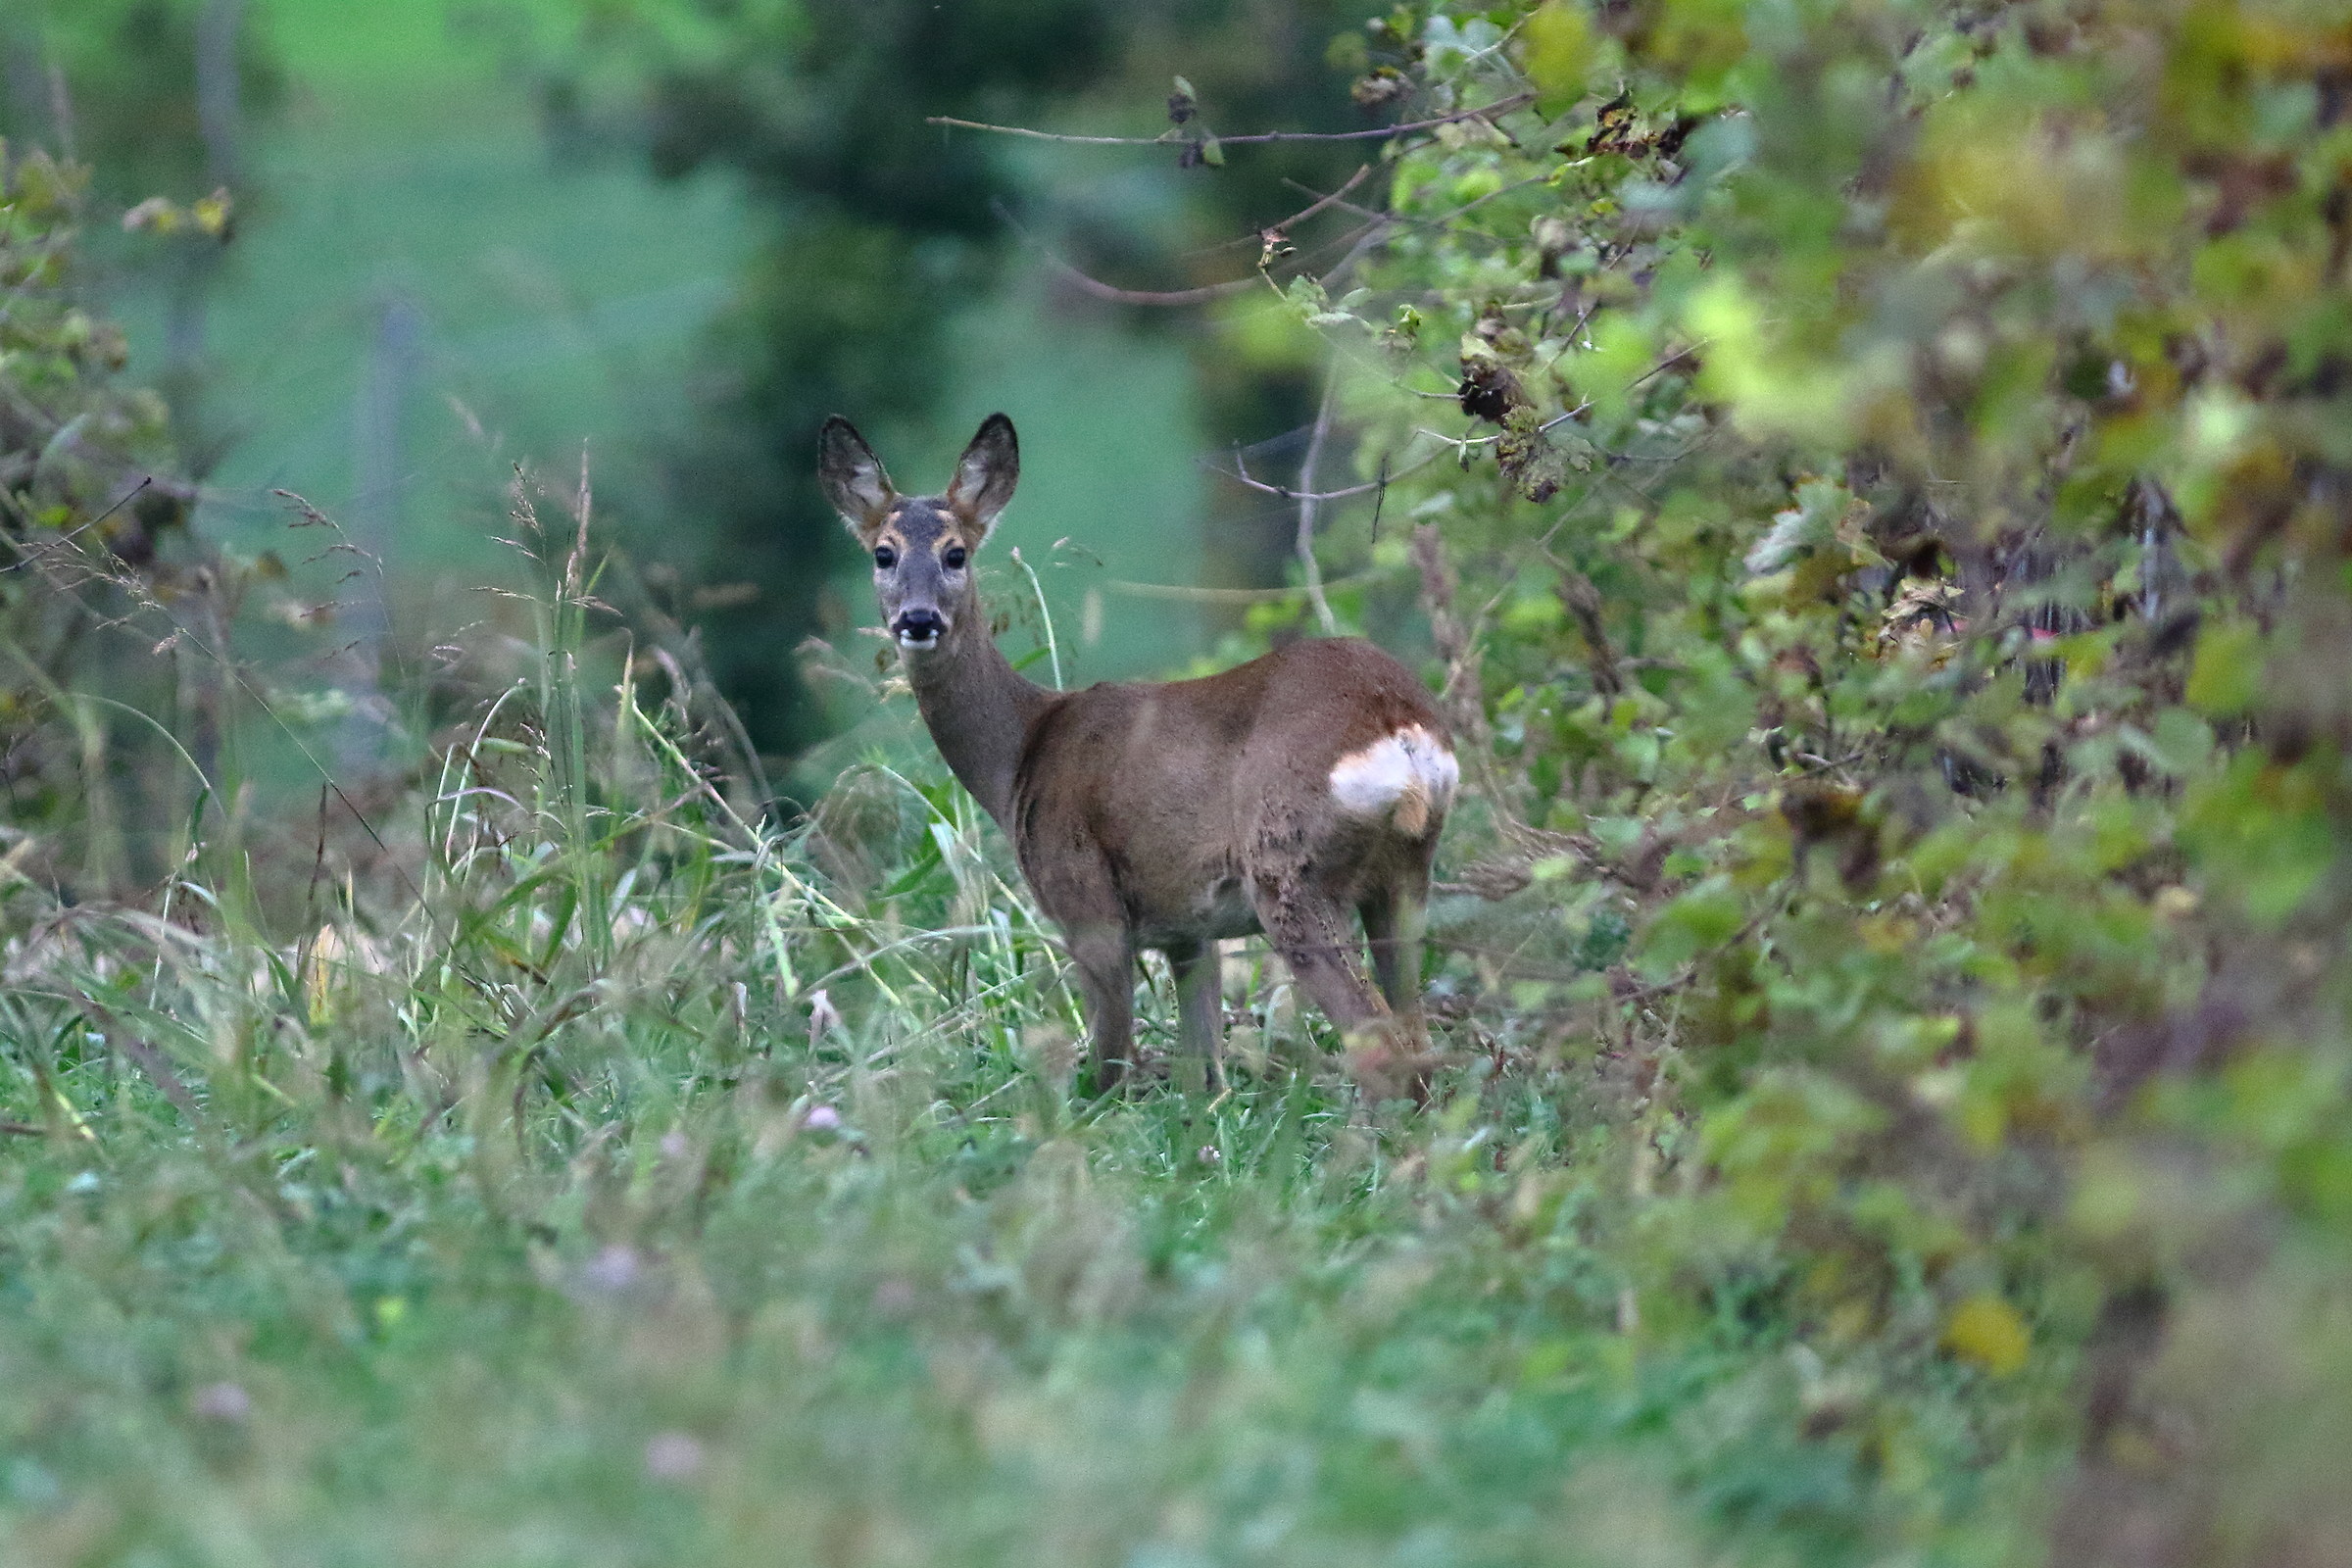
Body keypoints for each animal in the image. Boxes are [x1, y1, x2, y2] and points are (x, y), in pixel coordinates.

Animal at [820, 412, 1457, 1099]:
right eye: (883, 553)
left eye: (955, 553)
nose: (918, 619)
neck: (1022, 752)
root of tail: (1399, 728)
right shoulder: (1189, 930)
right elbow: (1202, 1074)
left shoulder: (1084, 900)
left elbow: (1106, 1071)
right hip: (1404, 877)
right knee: (1418, 1040)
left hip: (1288, 870)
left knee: (1383, 1046)